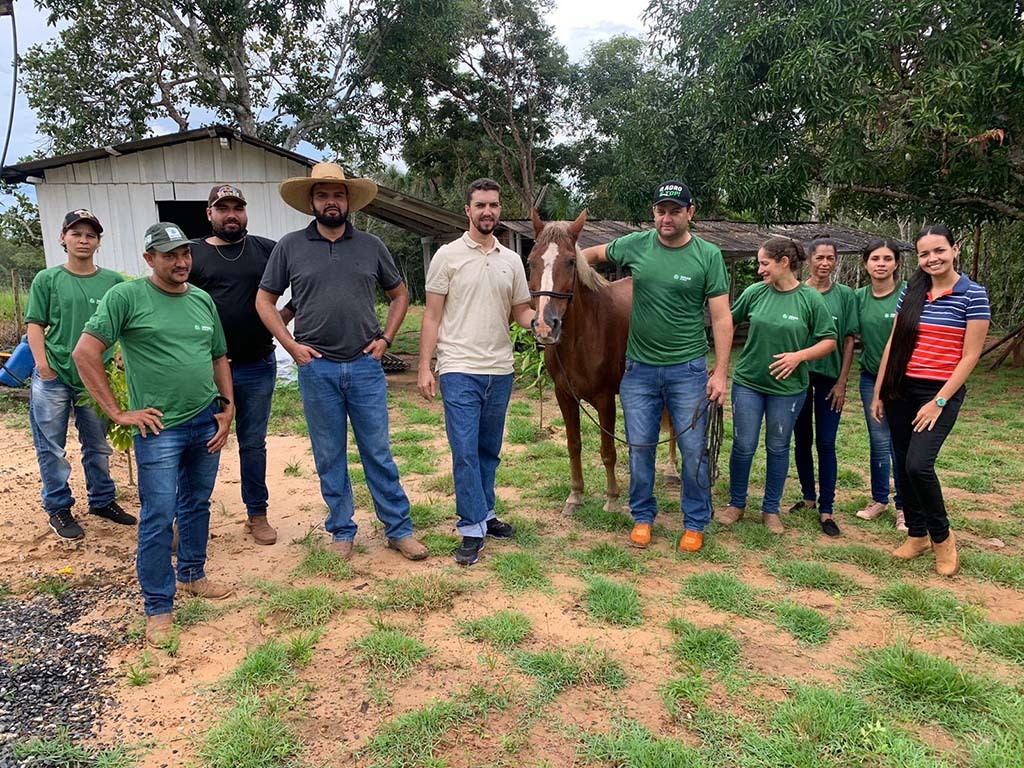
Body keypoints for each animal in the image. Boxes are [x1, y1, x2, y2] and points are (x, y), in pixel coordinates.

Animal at [528, 208, 630, 518]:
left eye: (571, 262)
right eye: (530, 261)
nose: (545, 326)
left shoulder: (605, 399)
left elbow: (608, 451)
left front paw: (612, 498)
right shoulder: (565, 397)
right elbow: (574, 445)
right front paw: (575, 496)